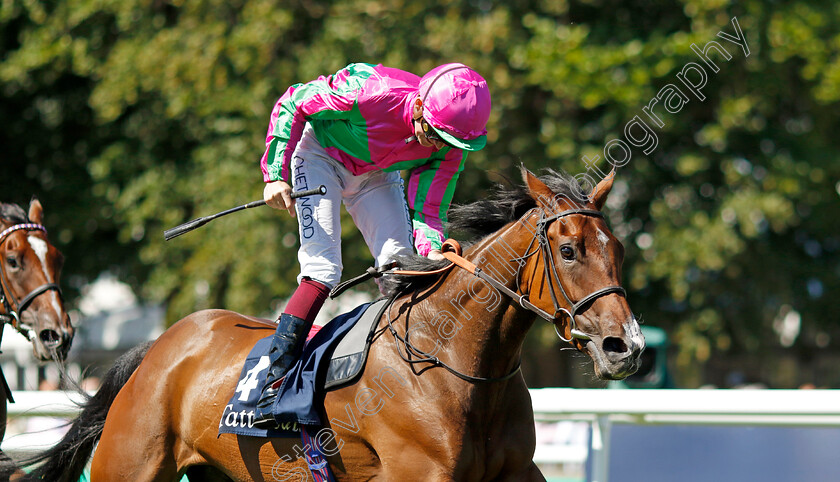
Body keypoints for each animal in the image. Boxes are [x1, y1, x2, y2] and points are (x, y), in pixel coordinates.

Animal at [13, 168, 644, 480]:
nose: (625, 345)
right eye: (568, 250)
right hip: (130, 466)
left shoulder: (516, 474)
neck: (457, 367)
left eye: (616, 248)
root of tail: (159, 350)